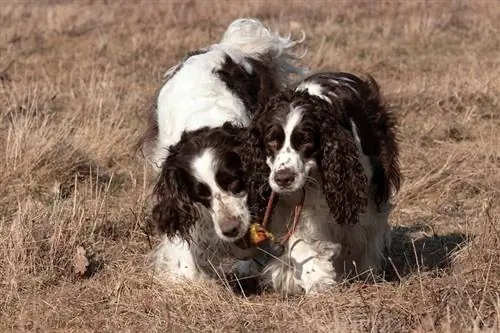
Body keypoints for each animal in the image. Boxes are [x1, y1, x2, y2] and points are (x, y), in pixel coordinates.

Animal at [139, 18, 306, 282]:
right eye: (201, 193)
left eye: (234, 181)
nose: (230, 230)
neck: (203, 126)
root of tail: (226, 46)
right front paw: (187, 278)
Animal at [236, 72, 404, 294]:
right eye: (271, 141)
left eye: (306, 141)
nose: (283, 179)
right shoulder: (284, 207)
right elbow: (296, 241)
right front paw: (315, 277)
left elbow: (362, 232)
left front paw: (361, 269)